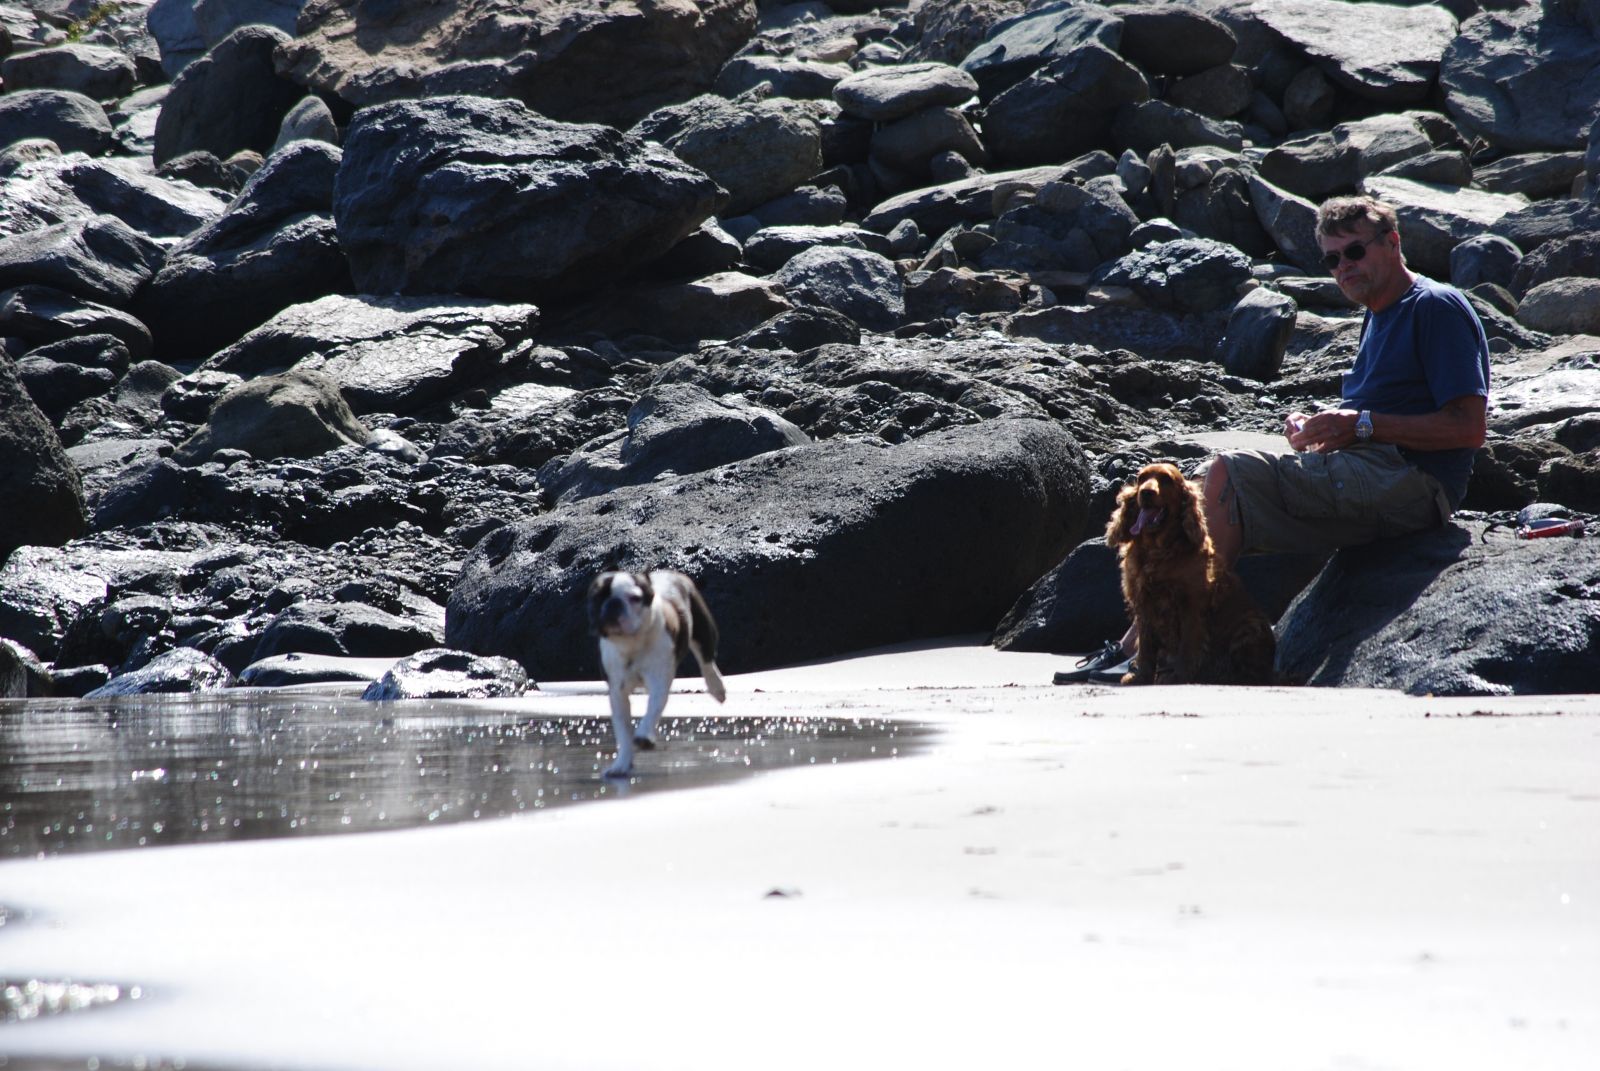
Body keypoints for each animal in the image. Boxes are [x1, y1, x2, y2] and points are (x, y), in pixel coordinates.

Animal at [587, 570, 726, 777]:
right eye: (597, 596)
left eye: (635, 598)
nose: (613, 603)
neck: (631, 643)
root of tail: (669, 572)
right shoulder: (617, 693)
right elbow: (623, 731)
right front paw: (621, 764)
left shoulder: (659, 681)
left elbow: (653, 708)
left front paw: (644, 736)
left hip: (703, 631)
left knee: (707, 661)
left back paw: (717, 688)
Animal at [1105, 462, 1276, 685]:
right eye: (1141, 478)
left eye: (1166, 479)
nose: (1146, 492)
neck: (1156, 550)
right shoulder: (1143, 604)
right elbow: (1145, 647)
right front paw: (1140, 676)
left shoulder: (1191, 604)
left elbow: (1187, 646)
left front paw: (1179, 676)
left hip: (1250, 625)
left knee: (1250, 672)